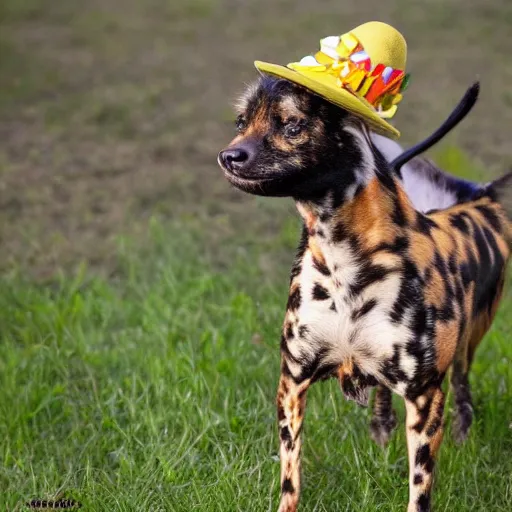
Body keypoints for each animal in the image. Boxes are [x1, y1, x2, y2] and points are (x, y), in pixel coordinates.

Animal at [217, 76, 512, 512]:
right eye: (241, 121)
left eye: (292, 124)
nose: (228, 155)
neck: (344, 267)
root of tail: (475, 198)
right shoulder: (292, 385)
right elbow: (291, 480)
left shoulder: (425, 399)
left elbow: (419, 490)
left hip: (468, 346)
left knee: (462, 388)